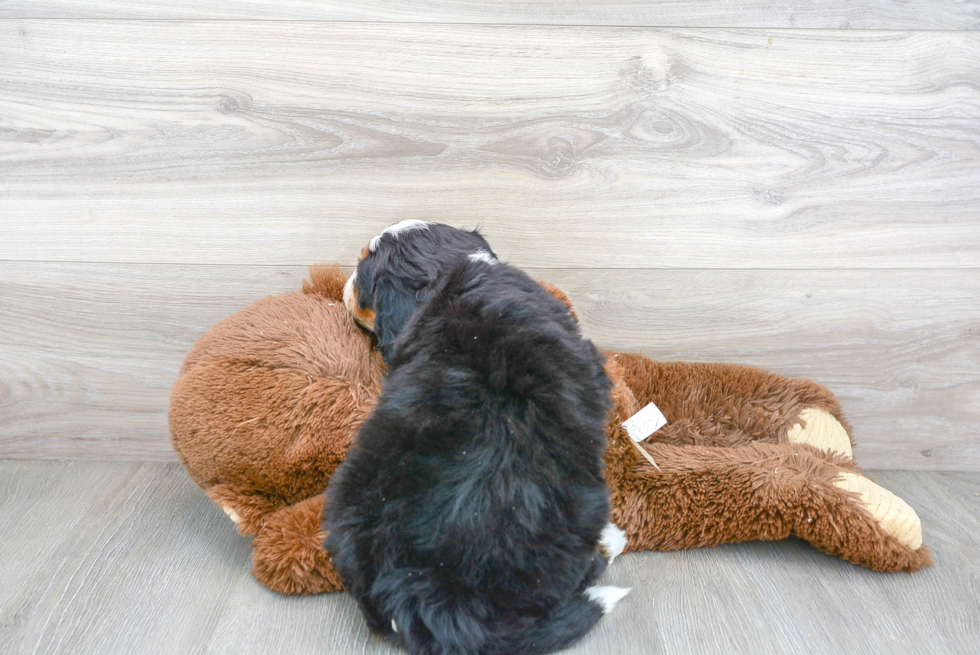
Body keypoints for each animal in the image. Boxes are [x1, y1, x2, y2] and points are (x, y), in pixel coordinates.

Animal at [324, 223, 628, 652]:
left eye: (362, 272)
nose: (345, 285)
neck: (448, 274)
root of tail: (422, 589)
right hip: (580, 508)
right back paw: (610, 541)